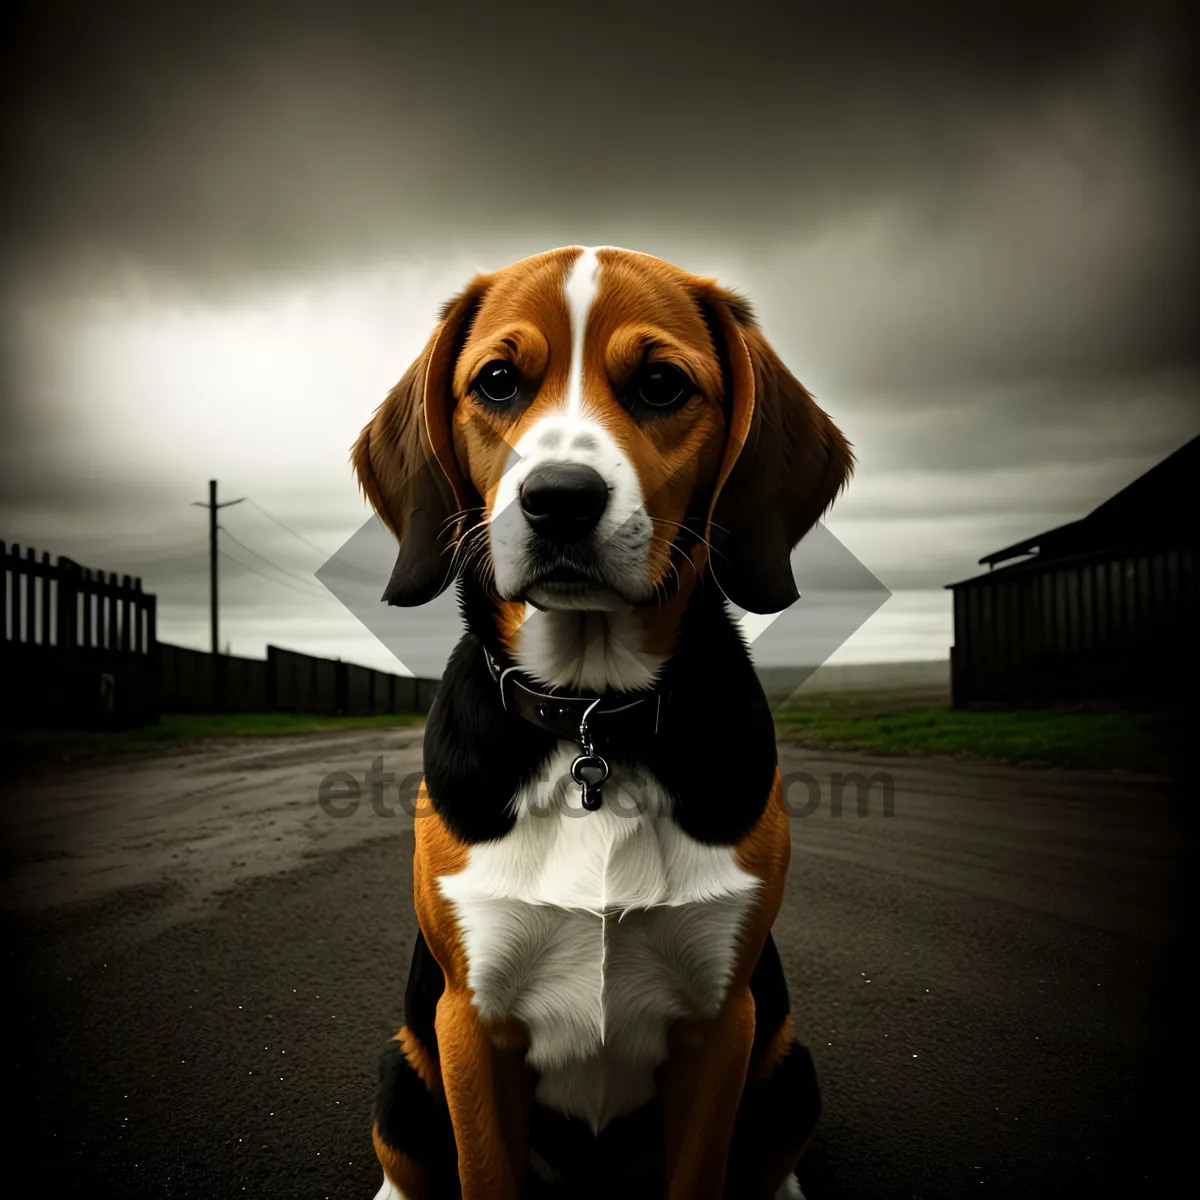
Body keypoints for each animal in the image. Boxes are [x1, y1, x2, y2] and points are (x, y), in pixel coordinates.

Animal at [355, 246, 854, 1200]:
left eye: (661, 386)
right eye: (499, 381)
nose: (558, 499)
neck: (591, 715)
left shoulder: (722, 1026)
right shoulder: (469, 1024)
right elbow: (482, 1171)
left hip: (790, 1059)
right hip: (404, 1068)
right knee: (403, 1157)